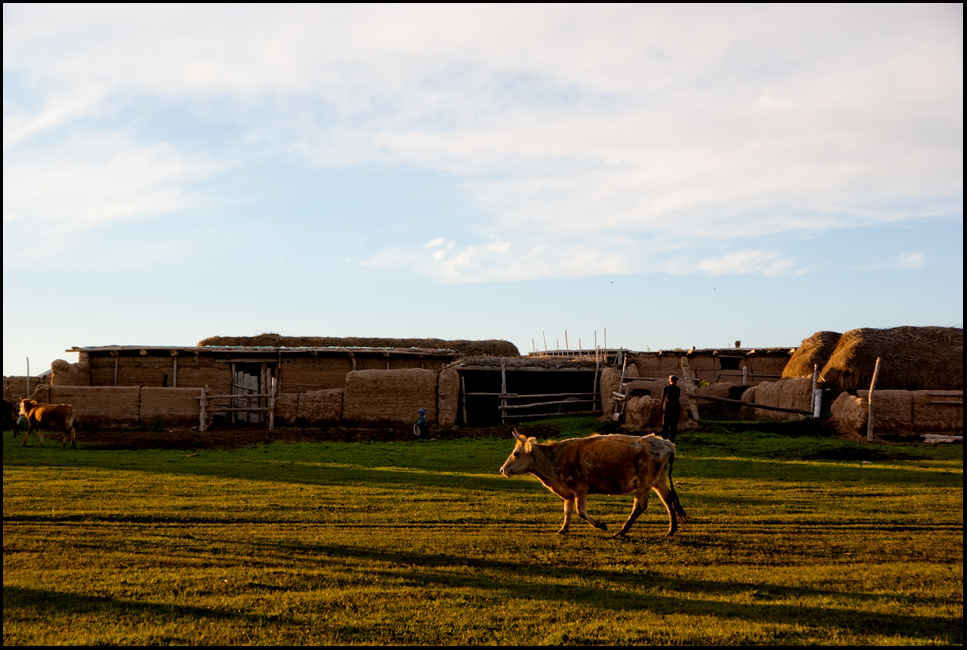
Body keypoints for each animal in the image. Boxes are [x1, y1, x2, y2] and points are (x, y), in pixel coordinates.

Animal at [500, 428, 688, 536]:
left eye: (516, 453)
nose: (502, 469)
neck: (553, 458)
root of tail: (666, 442)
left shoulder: (580, 489)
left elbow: (581, 512)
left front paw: (601, 525)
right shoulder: (569, 492)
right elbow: (567, 512)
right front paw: (563, 530)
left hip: (644, 482)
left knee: (639, 506)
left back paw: (622, 531)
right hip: (659, 481)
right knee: (668, 500)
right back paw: (671, 530)